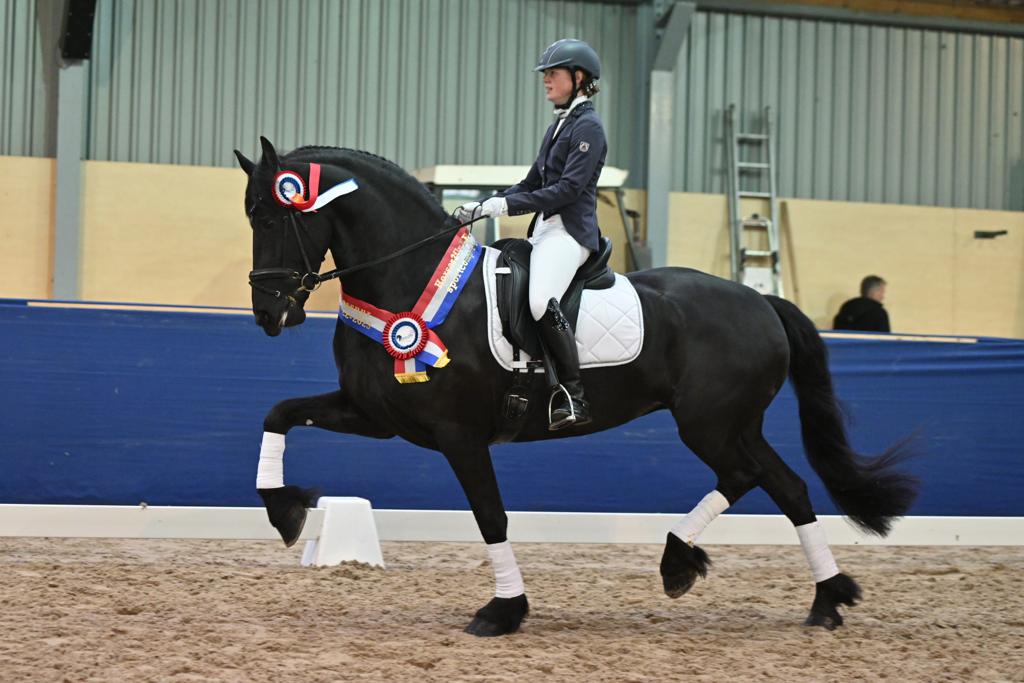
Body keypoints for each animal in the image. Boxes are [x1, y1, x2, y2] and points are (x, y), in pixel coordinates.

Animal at [234, 137, 921, 634]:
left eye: (271, 215)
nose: (269, 313)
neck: (410, 278)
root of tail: (760, 301)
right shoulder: (376, 415)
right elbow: (278, 412)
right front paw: (285, 511)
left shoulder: (459, 435)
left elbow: (490, 515)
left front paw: (503, 611)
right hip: (731, 423)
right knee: (782, 483)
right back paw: (814, 596)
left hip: (711, 422)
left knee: (758, 477)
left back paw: (711, 567)